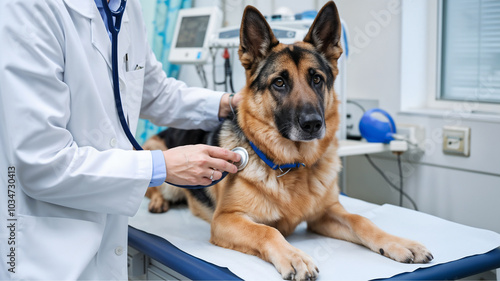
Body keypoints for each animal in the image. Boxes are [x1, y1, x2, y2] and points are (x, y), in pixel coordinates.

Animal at [143, 1, 432, 278]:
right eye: (279, 83)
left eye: (317, 79)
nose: (313, 124)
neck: (294, 165)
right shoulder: (226, 220)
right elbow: (268, 231)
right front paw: (294, 257)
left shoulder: (325, 215)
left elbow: (362, 220)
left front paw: (399, 243)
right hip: (160, 161)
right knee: (154, 187)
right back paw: (158, 202)